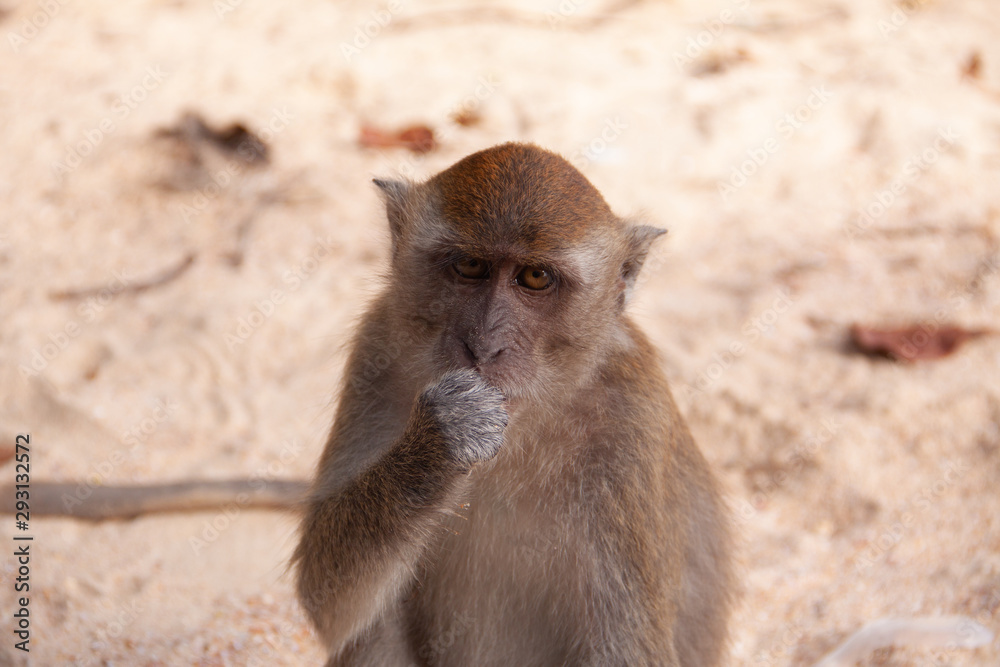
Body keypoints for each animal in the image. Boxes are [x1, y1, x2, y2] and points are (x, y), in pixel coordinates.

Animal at [292, 141, 732, 666]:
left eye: (535, 277)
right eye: (469, 267)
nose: (484, 346)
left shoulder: (632, 413)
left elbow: (626, 649)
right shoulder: (376, 351)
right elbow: (326, 598)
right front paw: (444, 437)